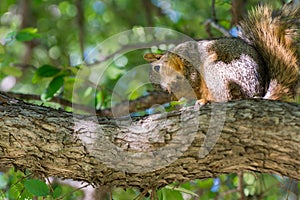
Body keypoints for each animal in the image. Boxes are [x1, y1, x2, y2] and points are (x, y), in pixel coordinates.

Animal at [144, 4, 298, 104]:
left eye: (156, 68)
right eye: (164, 91)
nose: (169, 87)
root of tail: (255, 93)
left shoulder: (187, 55)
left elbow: (193, 76)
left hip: (219, 71)